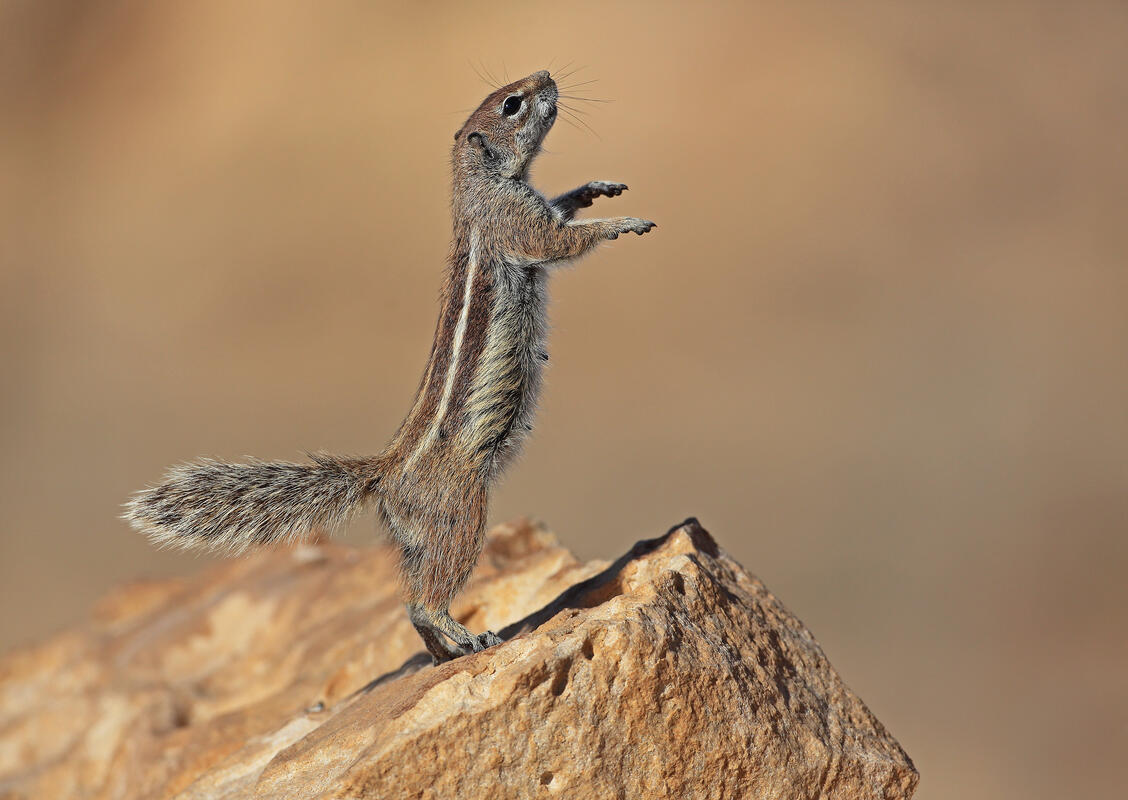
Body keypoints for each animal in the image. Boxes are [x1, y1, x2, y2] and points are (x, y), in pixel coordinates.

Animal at [125, 70, 656, 663]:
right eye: (512, 103)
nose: (547, 76)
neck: (478, 186)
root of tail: (386, 473)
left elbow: (561, 209)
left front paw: (594, 189)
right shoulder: (515, 223)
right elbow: (560, 240)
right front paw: (623, 222)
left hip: (416, 539)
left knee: (407, 600)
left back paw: (443, 652)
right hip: (461, 512)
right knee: (426, 597)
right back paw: (469, 637)